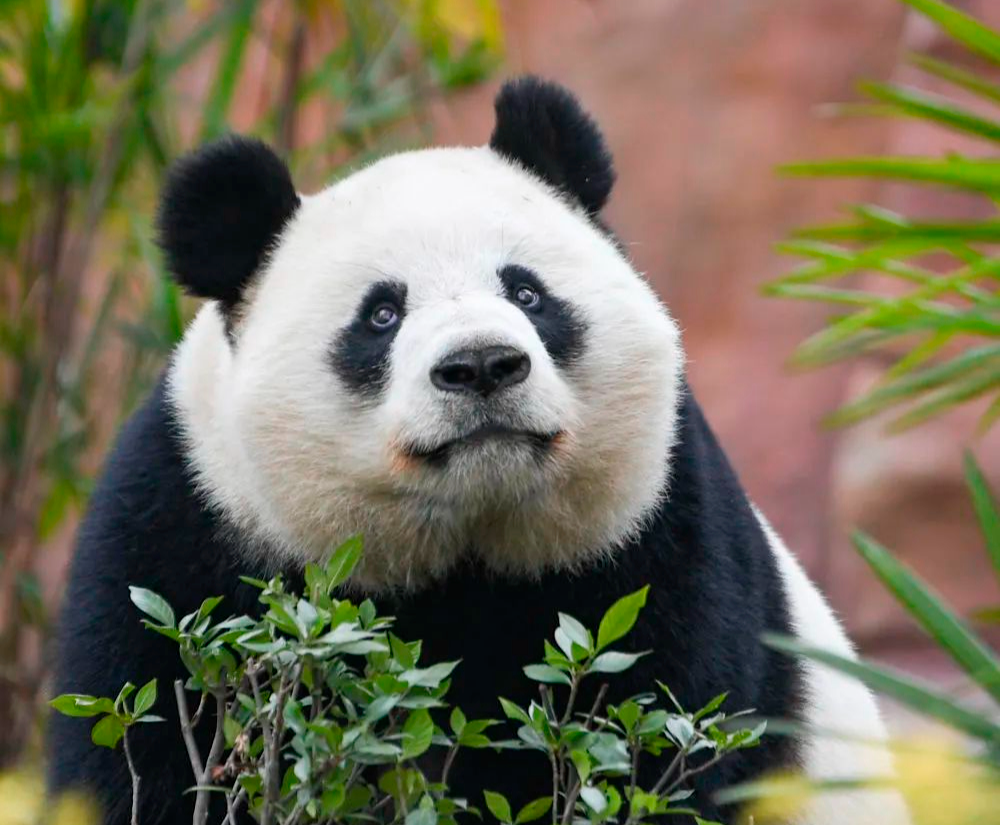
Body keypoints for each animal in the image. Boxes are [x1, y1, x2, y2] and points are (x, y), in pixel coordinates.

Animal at [47, 79, 912, 824]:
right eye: (382, 314)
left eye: (527, 291)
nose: (483, 365)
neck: (462, 543)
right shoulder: (188, 528)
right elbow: (141, 746)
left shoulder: (657, 534)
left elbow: (664, 744)